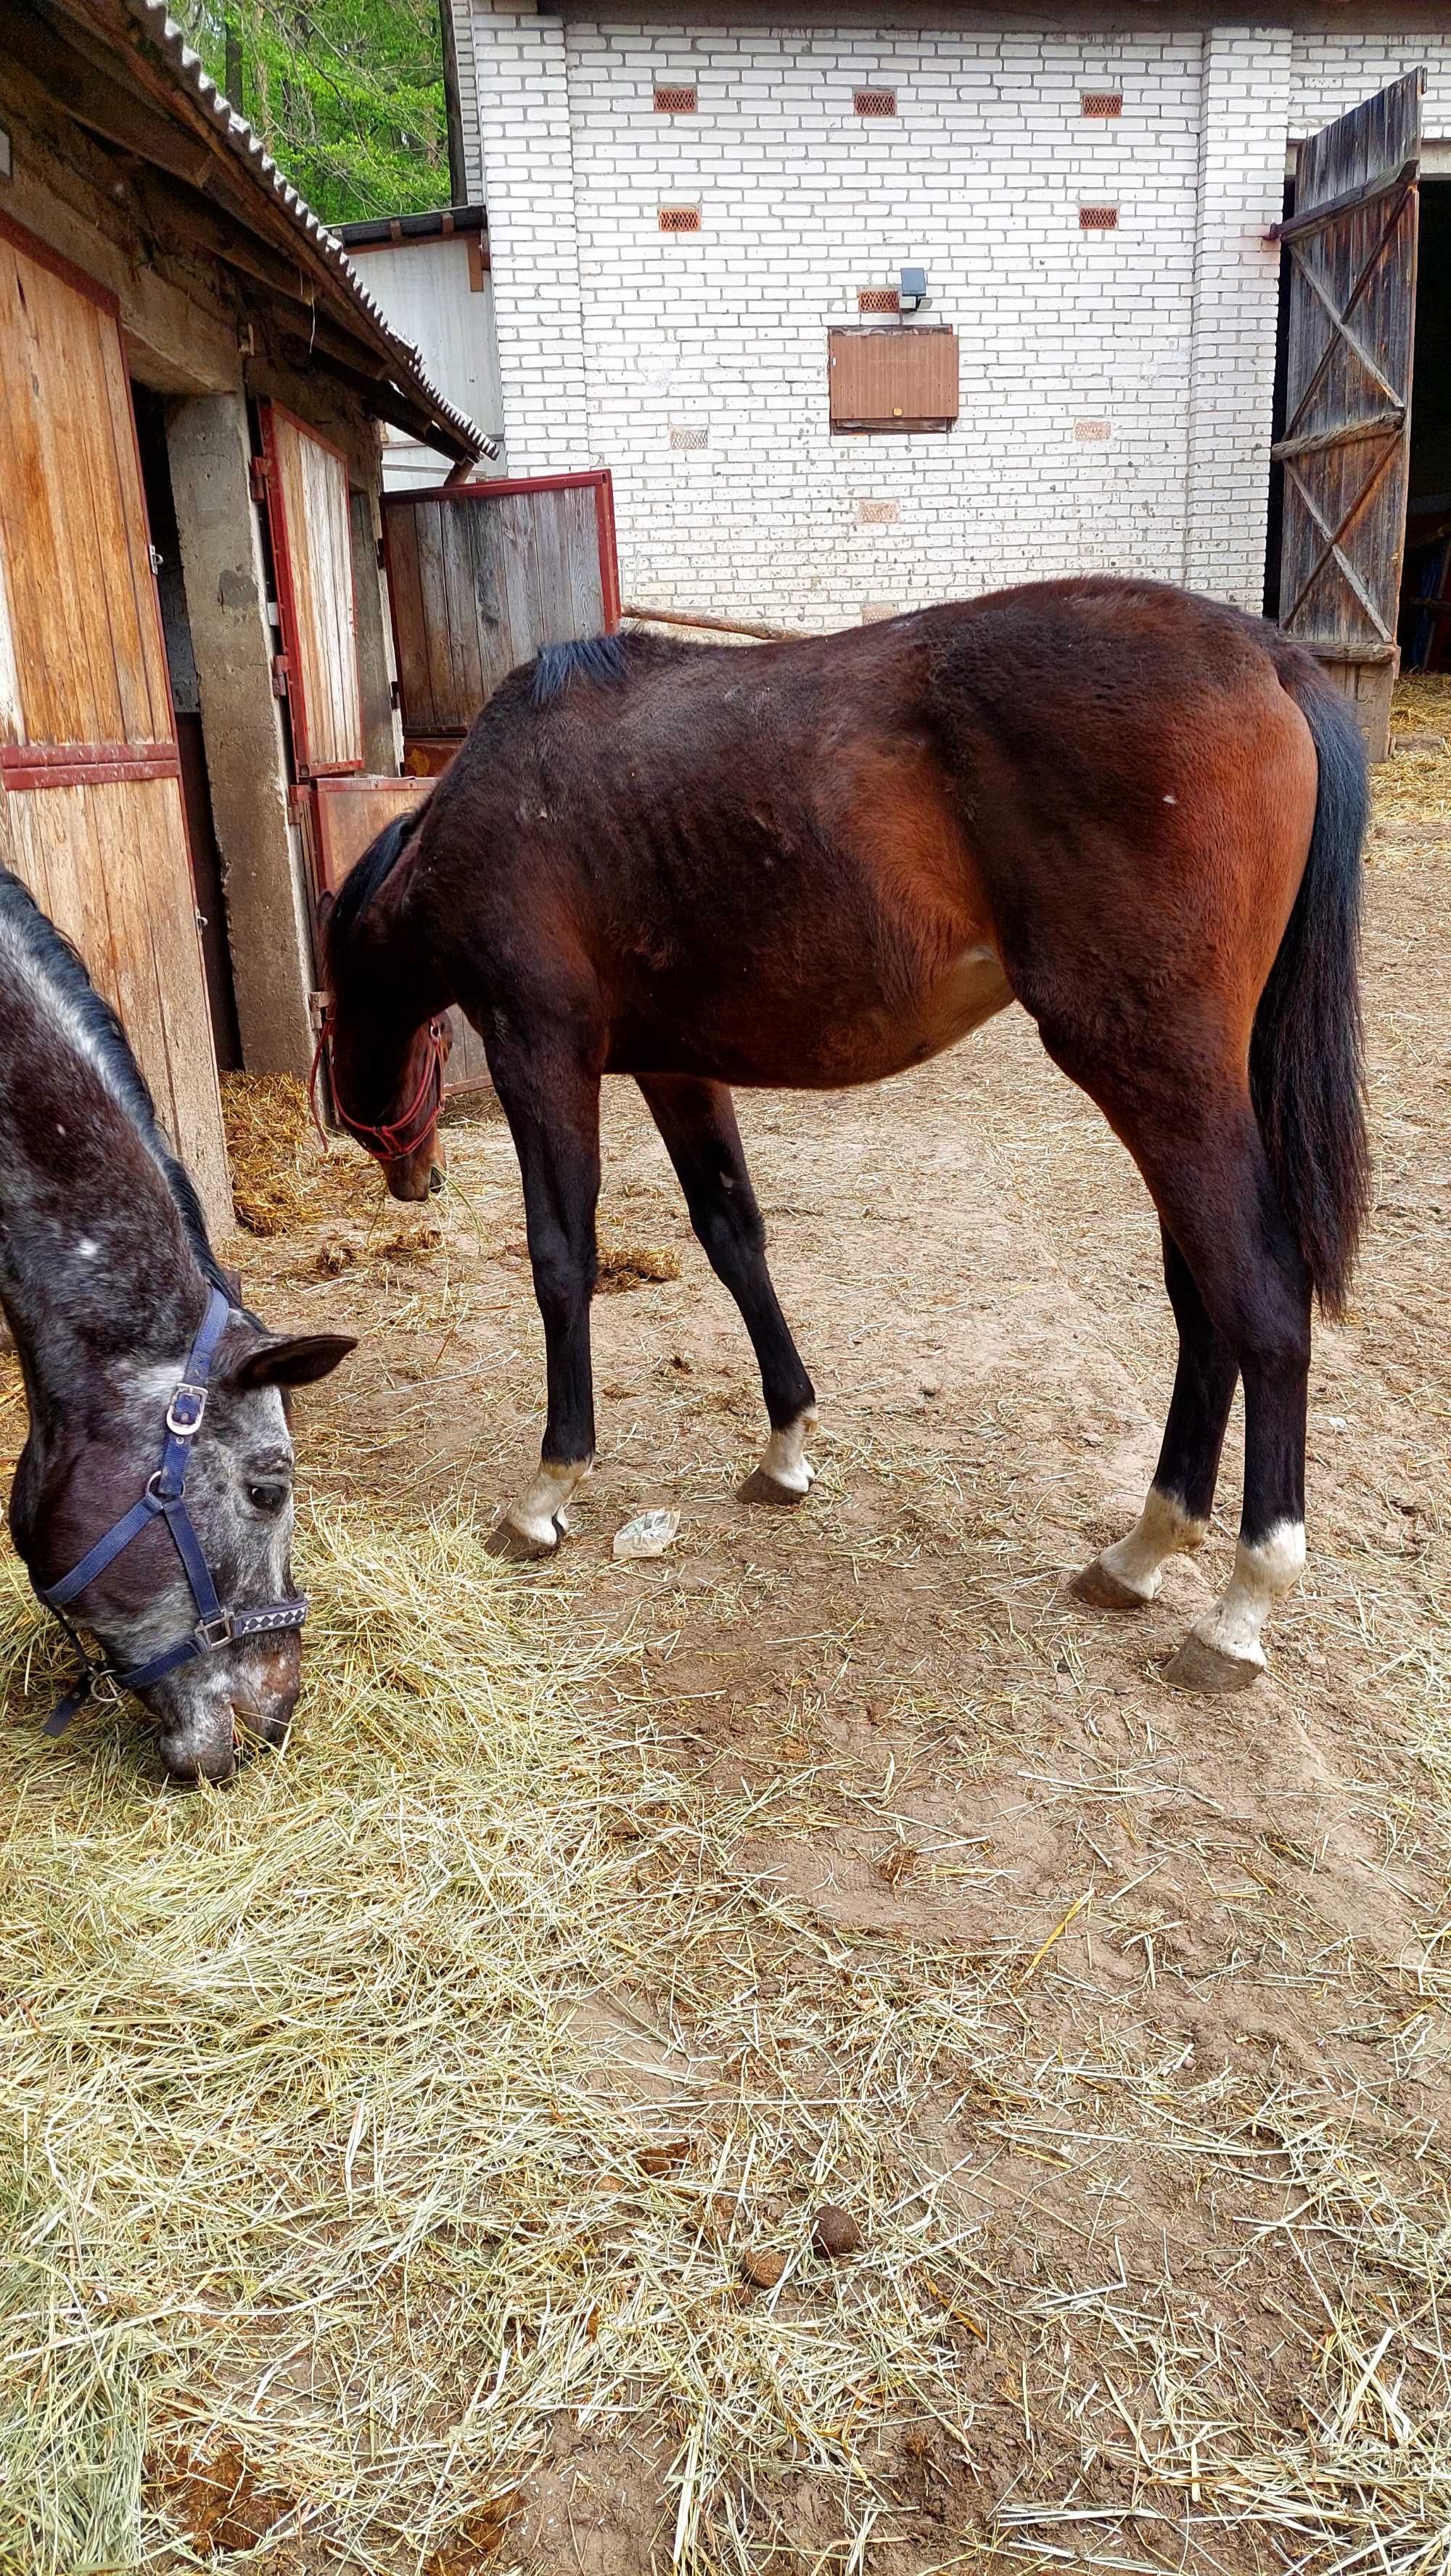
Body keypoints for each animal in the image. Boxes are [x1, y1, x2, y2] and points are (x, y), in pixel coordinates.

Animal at [321, 582, 1370, 1690]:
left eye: (340, 1010)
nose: (411, 1173)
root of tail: (1265, 656)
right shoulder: (676, 1068)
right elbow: (734, 1236)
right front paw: (786, 1444)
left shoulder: (540, 1052)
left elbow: (563, 1260)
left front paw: (547, 1489)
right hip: (1179, 1089)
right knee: (1202, 1302)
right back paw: (1142, 1551)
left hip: (1157, 1077)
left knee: (1259, 1299)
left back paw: (1240, 1604)